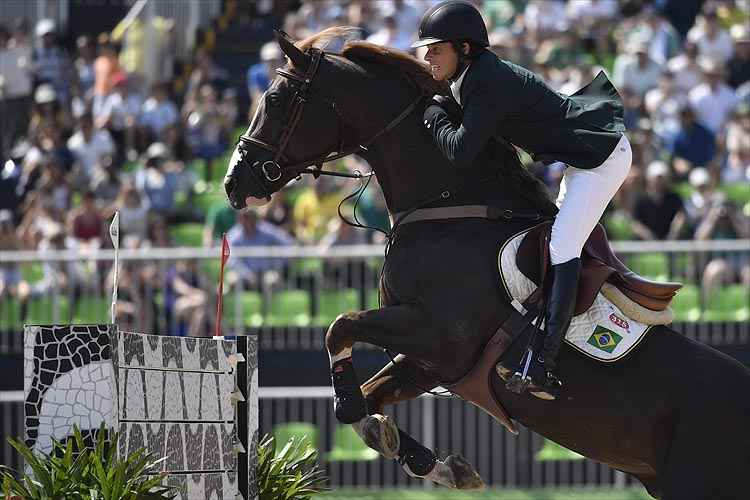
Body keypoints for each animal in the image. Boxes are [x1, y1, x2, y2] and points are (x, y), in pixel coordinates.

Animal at [225, 29, 750, 498]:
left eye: (276, 100)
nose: (233, 184)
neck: (449, 208)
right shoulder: (432, 363)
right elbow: (367, 401)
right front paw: (435, 464)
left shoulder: (440, 336)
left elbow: (339, 329)